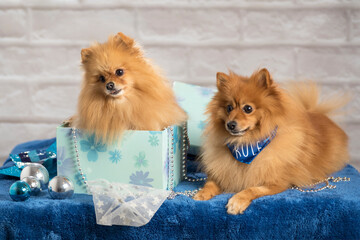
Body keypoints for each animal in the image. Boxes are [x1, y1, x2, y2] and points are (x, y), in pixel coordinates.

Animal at [194, 68, 348, 215]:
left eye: (248, 108)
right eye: (229, 108)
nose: (230, 124)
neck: (246, 144)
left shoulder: (277, 183)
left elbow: (252, 189)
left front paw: (237, 200)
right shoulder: (221, 173)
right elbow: (210, 183)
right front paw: (202, 193)